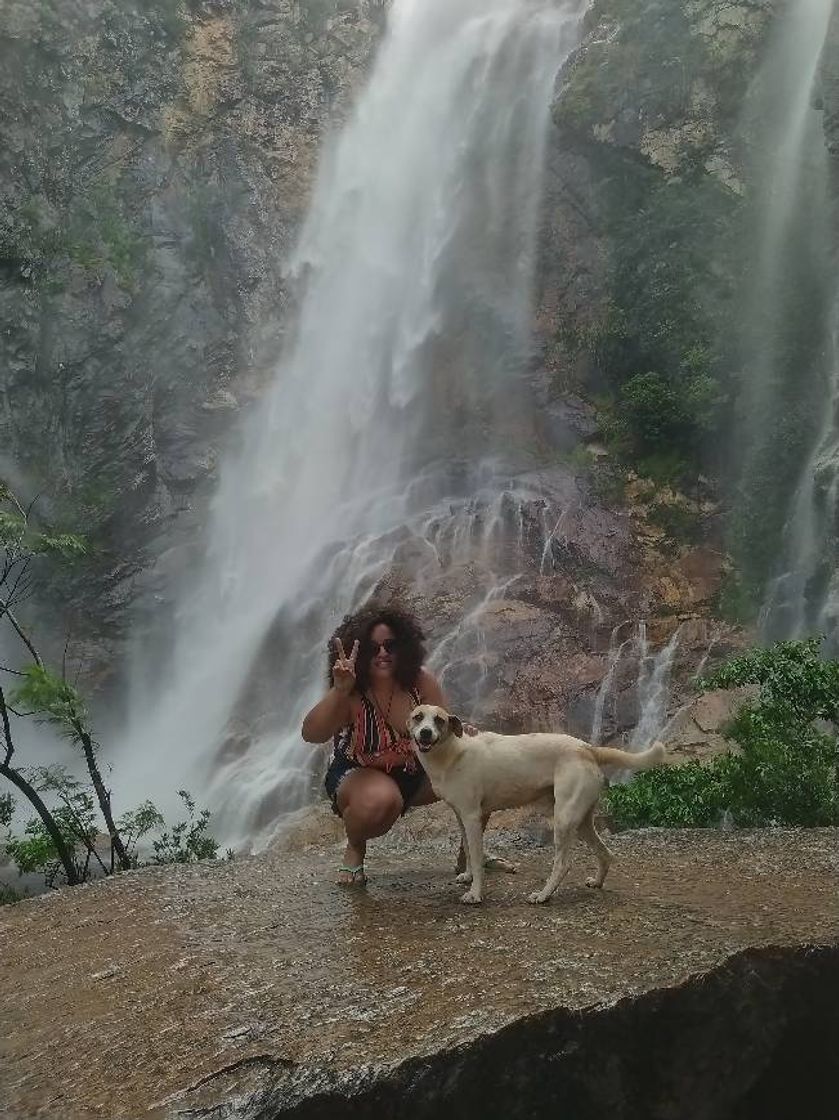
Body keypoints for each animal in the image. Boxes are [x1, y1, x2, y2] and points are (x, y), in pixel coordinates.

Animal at [409, 703, 663, 904]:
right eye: (418, 716)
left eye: (439, 720)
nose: (425, 733)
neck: (452, 753)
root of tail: (587, 748)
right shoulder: (462, 817)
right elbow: (470, 852)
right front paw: (468, 876)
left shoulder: (472, 817)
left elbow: (477, 856)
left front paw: (475, 893)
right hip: (581, 820)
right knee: (605, 852)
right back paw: (597, 882)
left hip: (563, 819)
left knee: (563, 863)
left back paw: (543, 895)